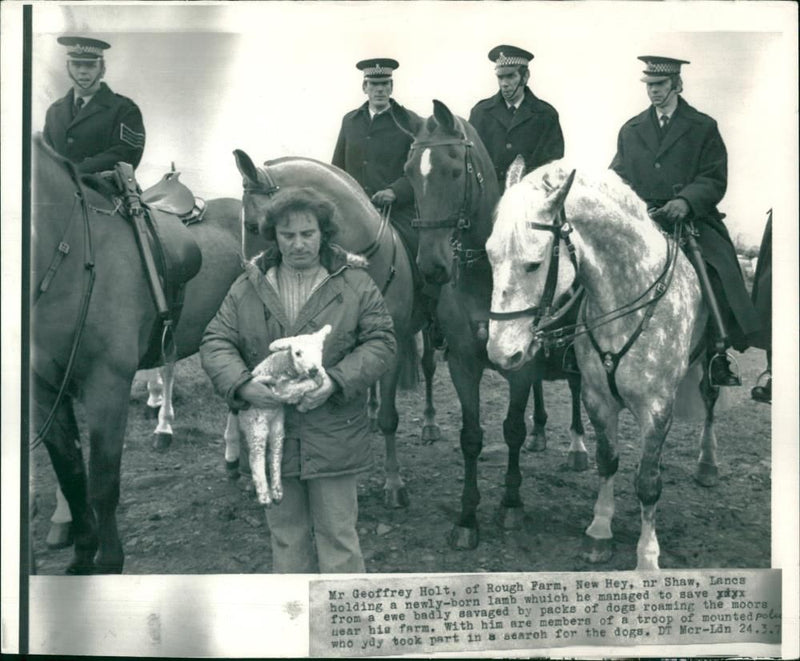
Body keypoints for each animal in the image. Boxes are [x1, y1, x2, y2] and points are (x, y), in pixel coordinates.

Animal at [32, 135, 244, 572]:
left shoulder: (107, 386)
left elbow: (102, 481)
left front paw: (109, 559)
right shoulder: (45, 391)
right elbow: (71, 475)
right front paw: (82, 553)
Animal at [238, 324, 332, 506]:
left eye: (319, 350)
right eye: (297, 353)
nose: (313, 369)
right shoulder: (280, 388)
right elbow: (303, 386)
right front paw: (317, 381)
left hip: (277, 425)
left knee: (275, 454)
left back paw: (277, 491)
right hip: (255, 423)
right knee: (256, 457)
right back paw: (264, 496)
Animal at [404, 102, 584, 548]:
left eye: (455, 170)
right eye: (410, 172)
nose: (432, 267)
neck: (487, 280)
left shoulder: (520, 368)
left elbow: (512, 429)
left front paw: (511, 504)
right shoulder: (463, 364)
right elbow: (471, 437)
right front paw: (468, 518)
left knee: (574, 385)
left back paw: (576, 447)